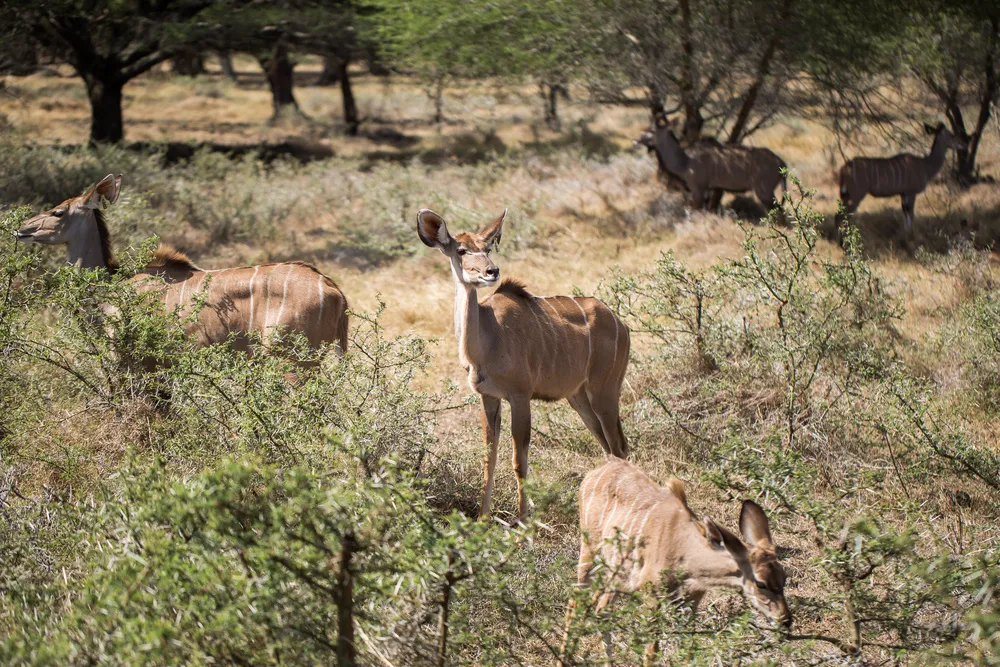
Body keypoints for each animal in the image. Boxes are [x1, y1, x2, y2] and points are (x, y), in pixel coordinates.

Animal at [418, 209, 628, 520]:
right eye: (461, 250)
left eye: (488, 248)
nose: (491, 271)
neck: (488, 339)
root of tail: (621, 324)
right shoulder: (489, 397)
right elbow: (489, 459)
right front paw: (482, 518)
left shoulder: (520, 396)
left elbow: (519, 460)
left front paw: (523, 520)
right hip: (578, 398)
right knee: (608, 448)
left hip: (605, 391)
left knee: (619, 446)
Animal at [564, 462, 788, 664]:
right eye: (761, 583)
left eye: (784, 578)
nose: (785, 620)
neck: (685, 552)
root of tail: (598, 469)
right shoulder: (652, 597)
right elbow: (651, 652)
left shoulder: (691, 602)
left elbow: (688, 648)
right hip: (589, 554)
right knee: (574, 603)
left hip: (615, 577)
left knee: (601, 610)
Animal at [636, 112, 784, 211]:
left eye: (652, 131)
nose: (636, 140)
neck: (686, 160)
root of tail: (780, 162)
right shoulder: (708, 190)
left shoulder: (698, 189)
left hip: (764, 193)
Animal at [836, 122, 968, 232]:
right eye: (951, 135)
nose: (962, 144)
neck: (925, 165)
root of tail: (844, 168)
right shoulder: (911, 192)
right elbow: (911, 214)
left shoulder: (903, 194)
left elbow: (905, 213)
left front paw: (905, 232)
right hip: (856, 195)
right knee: (841, 216)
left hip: (847, 195)